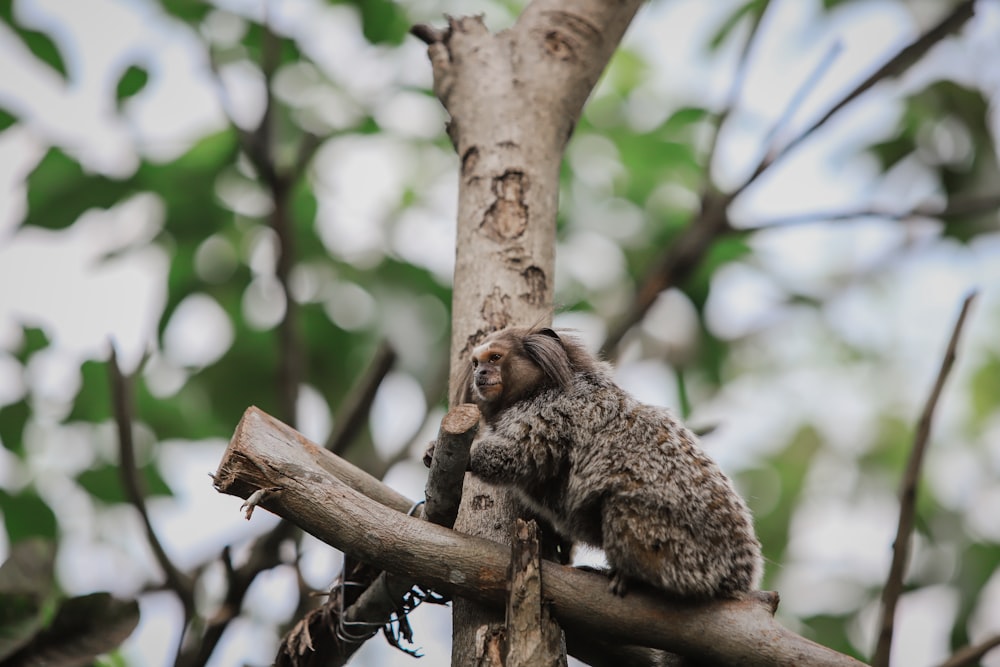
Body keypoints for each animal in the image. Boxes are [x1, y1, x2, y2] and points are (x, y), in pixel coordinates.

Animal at [462, 328, 764, 600]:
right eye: (476, 363)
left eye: (495, 358)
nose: (481, 374)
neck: (537, 389)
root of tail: (737, 573)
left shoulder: (550, 413)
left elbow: (517, 455)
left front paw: (469, 455)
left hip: (681, 551)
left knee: (618, 504)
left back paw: (631, 575)